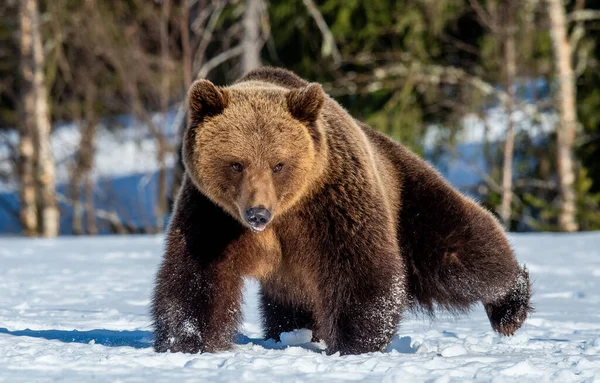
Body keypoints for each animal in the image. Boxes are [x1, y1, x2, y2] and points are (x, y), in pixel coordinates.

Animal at [152, 67, 532, 356]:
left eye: (278, 164)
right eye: (236, 163)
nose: (257, 214)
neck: (286, 211)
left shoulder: (332, 202)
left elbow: (360, 271)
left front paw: (355, 344)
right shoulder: (213, 215)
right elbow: (197, 275)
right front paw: (186, 341)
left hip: (407, 198)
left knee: (459, 252)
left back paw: (510, 306)